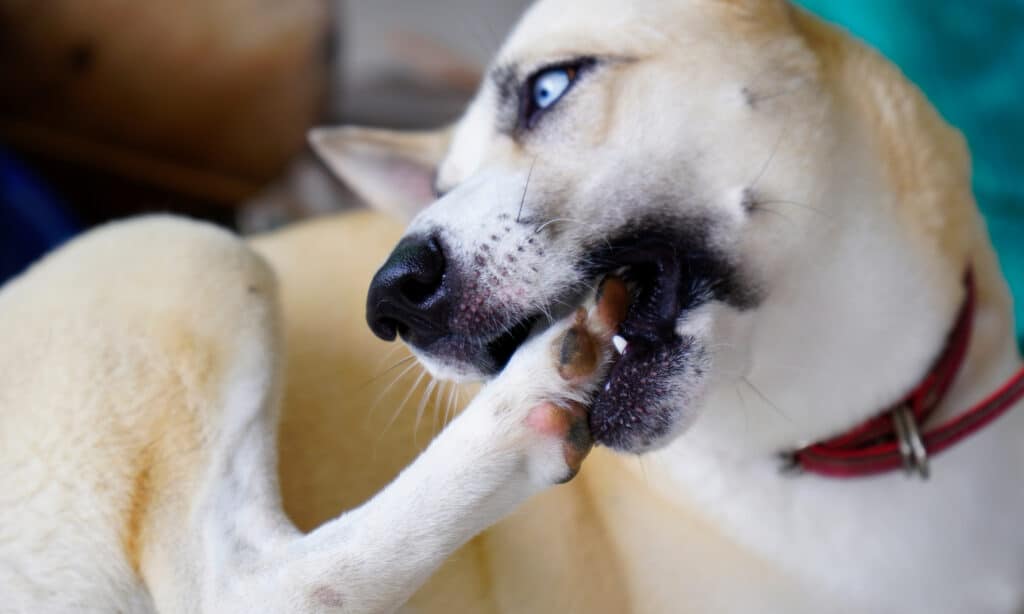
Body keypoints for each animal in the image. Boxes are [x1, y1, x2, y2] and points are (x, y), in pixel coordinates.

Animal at [2, 1, 1024, 614]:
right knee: (250, 588)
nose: (390, 297)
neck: (872, 434)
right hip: (187, 245)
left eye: (549, 87)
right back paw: (509, 425)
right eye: (438, 187)